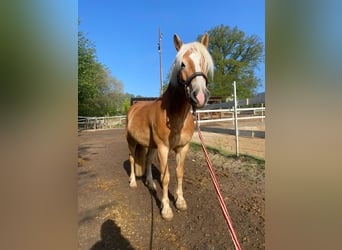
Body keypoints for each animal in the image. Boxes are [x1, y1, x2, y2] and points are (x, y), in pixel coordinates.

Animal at [125, 33, 214, 221]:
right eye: (182, 64)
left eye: (204, 62)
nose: (200, 96)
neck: (174, 115)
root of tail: (134, 107)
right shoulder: (164, 148)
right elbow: (166, 177)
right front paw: (166, 208)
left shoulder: (183, 147)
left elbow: (179, 173)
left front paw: (180, 201)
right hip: (132, 142)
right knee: (132, 159)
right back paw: (133, 182)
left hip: (150, 145)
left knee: (148, 160)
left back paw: (150, 184)